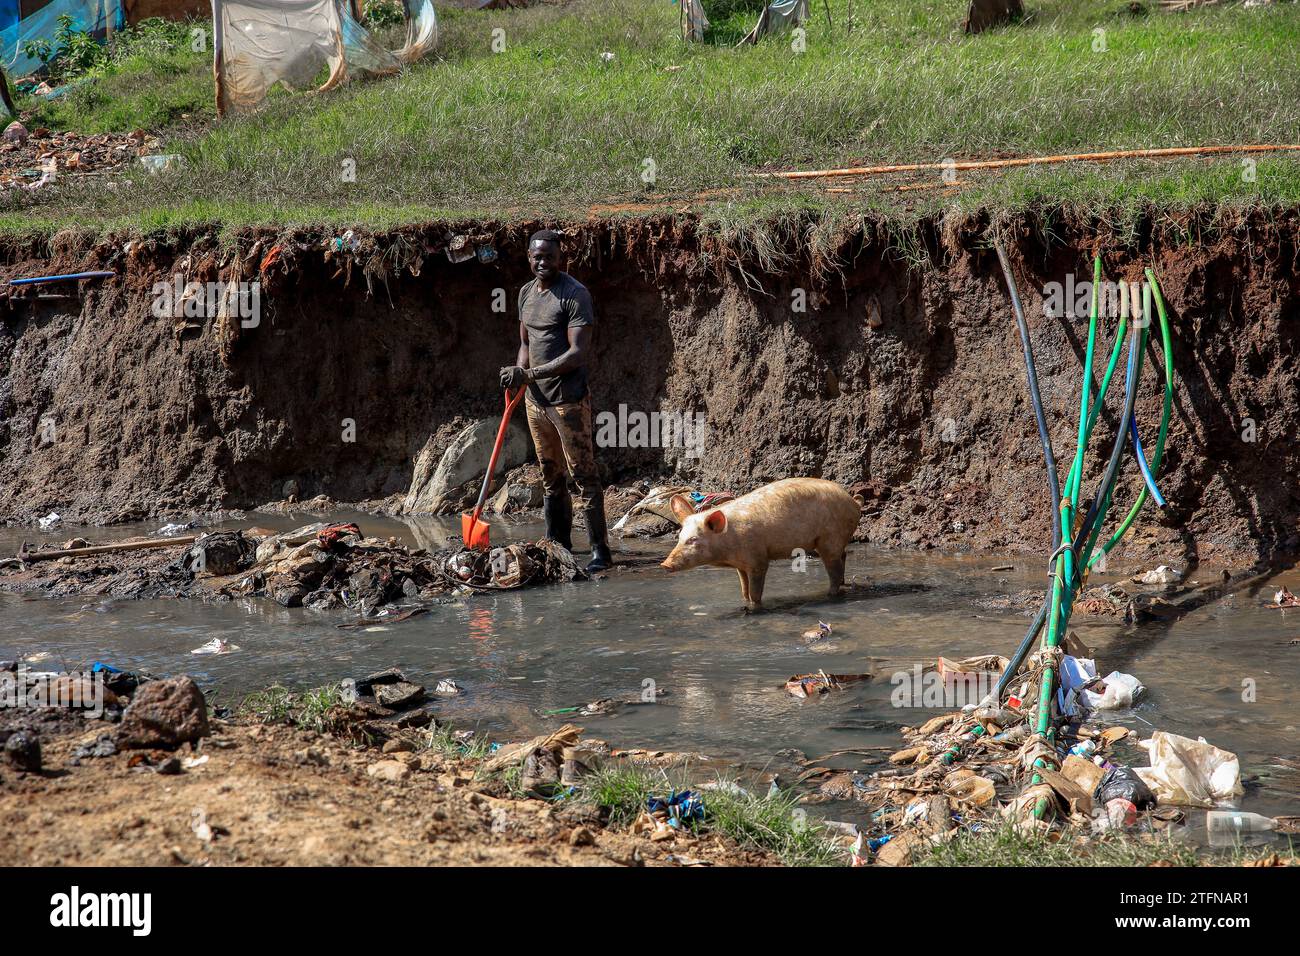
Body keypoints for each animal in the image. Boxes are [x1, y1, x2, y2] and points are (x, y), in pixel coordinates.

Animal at [660, 476, 863, 606]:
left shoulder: (757, 559)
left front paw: (755, 607)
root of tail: (854, 502)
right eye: (679, 537)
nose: (664, 564)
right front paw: (744, 601)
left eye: (693, 539)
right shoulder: (740, 566)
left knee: (834, 568)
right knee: (843, 557)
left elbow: (755, 591)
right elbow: (744, 589)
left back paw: (829, 595)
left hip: (830, 537)